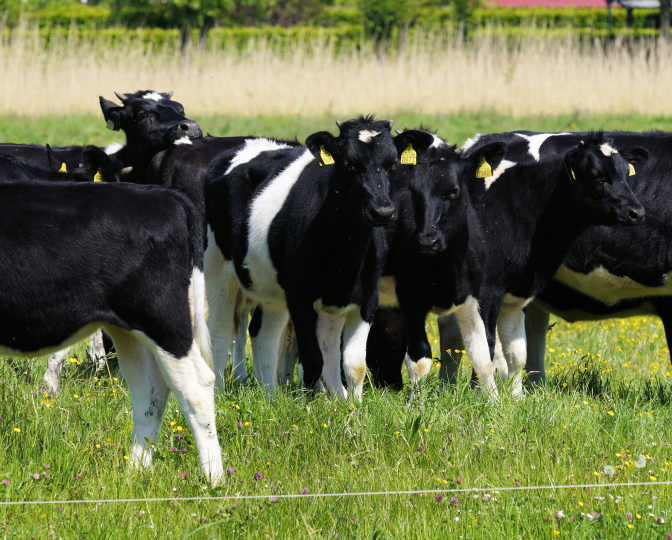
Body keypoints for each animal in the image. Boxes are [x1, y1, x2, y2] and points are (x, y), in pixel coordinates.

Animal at [0, 179, 221, 482]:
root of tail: (165, 195)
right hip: (126, 327)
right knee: (149, 392)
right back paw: (135, 474)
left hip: (163, 318)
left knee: (196, 386)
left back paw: (214, 481)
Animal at [204, 117, 397, 398]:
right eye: (350, 164)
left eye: (392, 164)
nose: (383, 211)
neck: (346, 253)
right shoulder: (299, 295)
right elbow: (312, 358)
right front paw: (312, 403)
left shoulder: (365, 297)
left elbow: (352, 363)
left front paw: (349, 403)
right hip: (218, 269)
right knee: (220, 329)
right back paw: (218, 391)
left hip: (271, 290)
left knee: (264, 333)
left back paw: (270, 396)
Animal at [369, 133, 646, 398]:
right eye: (598, 176)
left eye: (626, 174)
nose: (638, 212)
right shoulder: (486, 292)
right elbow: (488, 346)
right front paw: (482, 395)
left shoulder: (515, 294)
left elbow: (516, 353)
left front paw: (516, 398)